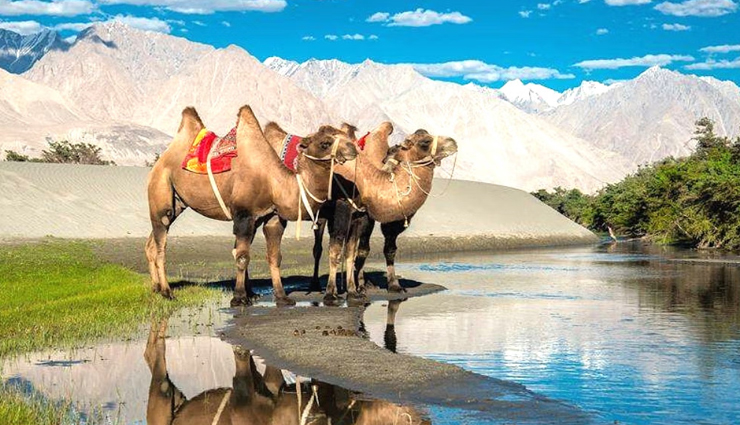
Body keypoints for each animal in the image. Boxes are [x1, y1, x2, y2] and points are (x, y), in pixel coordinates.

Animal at [145, 105, 357, 306]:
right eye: (325, 143)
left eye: (343, 135)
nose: (353, 149)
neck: (273, 181)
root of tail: (159, 162)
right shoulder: (244, 214)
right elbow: (242, 256)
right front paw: (239, 298)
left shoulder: (272, 216)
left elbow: (275, 256)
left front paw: (282, 297)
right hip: (161, 188)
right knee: (161, 242)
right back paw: (167, 292)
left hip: (178, 203)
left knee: (152, 242)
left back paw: (156, 288)